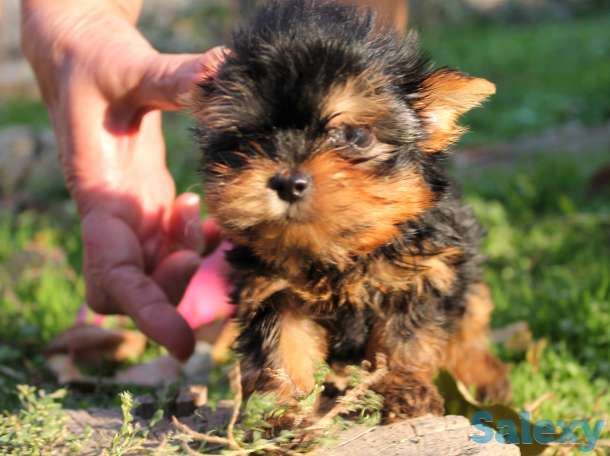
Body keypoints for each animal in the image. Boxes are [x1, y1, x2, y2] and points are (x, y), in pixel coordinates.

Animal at [192, 0, 506, 422]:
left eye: (356, 136)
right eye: (250, 137)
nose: (288, 182)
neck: (339, 254)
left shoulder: (419, 277)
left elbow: (404, 340)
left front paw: (405, 391)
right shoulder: (272, 290)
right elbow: (283, 347)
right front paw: (281, 415)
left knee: (469, 325)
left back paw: (483, 377)